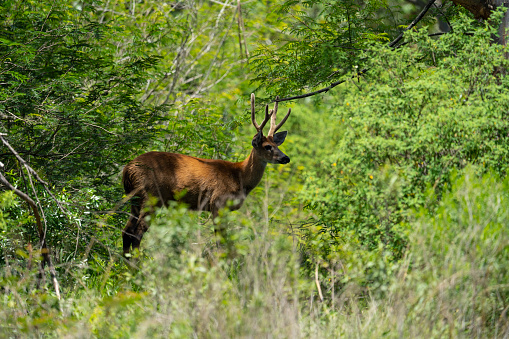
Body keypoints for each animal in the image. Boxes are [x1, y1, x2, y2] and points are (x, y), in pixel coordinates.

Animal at [119, 94, 292, 256]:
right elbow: (221, 243)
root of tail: (128, 169)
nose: (286, 158)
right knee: (137, 233)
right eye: (267, 146)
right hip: (151, 196)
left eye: (277, 144)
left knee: (126, 232)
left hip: (135, 199)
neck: (240, 176)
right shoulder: (218, 202)